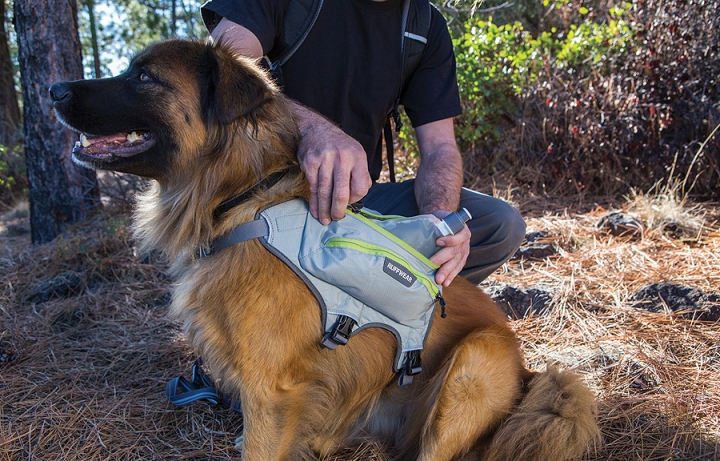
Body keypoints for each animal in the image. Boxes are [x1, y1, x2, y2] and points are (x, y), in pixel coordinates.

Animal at [49, 40, 596, 460]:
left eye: (143, 76)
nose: (54, 90)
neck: (241, 204)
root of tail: (529, 373)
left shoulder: (272, 390)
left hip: (472, 365)